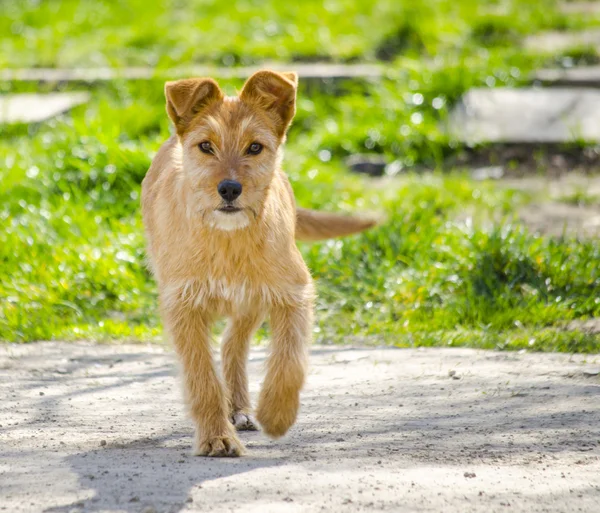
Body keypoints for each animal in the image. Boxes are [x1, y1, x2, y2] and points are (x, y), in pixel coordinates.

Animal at [141, 69, 376, 456]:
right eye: (205, 146)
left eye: (255, 147)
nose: (229, 189)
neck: (228, 239)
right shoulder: (183, 306)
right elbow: (202, 376)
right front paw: (216, 437)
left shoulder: (293, 293)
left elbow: (289, 361)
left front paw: (276, 414)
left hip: (250, 301)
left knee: (232, 345)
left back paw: (241, 408)